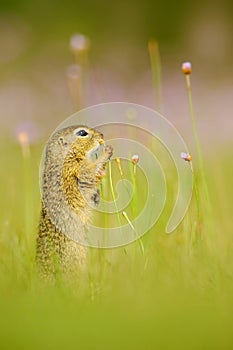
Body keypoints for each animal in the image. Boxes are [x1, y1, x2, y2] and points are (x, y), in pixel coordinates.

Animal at [36, 126, 113, 278]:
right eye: (82, 133)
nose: (101, 135)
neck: (63, 156)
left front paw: (97, 194)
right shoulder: (75, 169)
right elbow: (89, 173)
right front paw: (106, 152)